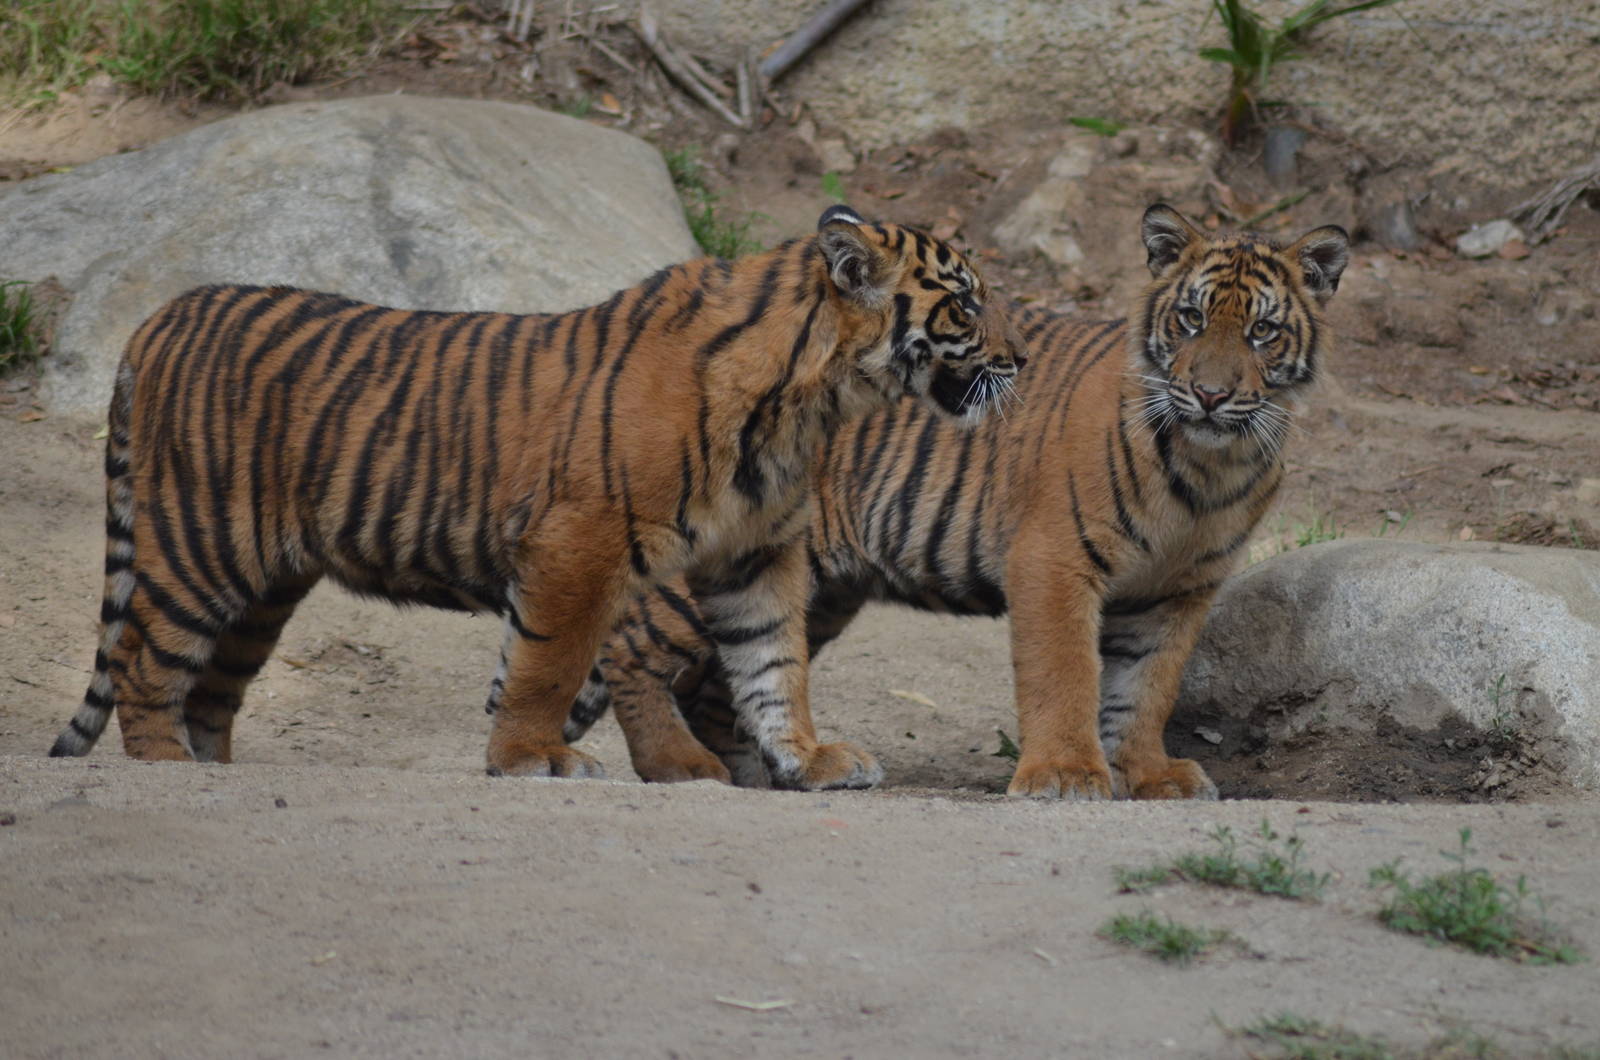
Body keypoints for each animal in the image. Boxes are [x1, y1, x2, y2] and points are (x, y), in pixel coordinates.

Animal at [48, 205, 1027, 790]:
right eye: (967, 305)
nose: (1019, 360)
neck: (814, 397)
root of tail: (158, 319)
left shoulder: (755, 556)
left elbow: (773, 664)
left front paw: (811, 757)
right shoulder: (578, 543)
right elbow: (547, 664)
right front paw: (531, 757)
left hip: (265, 587)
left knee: (211, 689)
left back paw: (214, 771)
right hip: (201, 547)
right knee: (143, 665)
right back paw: (166, 771)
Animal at [559, 203, 1350, 799]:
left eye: (1262, 330)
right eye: (1189, 320)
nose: (1210, 394)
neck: (1210, 464)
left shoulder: (1179, 591)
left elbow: (1147, 687)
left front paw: (1149, 774)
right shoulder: (1055, 561)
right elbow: (1067, 674)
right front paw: (1066, 774)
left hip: (812, 590)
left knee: (727, 677)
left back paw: (775, 772)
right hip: (714, 554)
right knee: (628, 644)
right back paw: (679, 765)